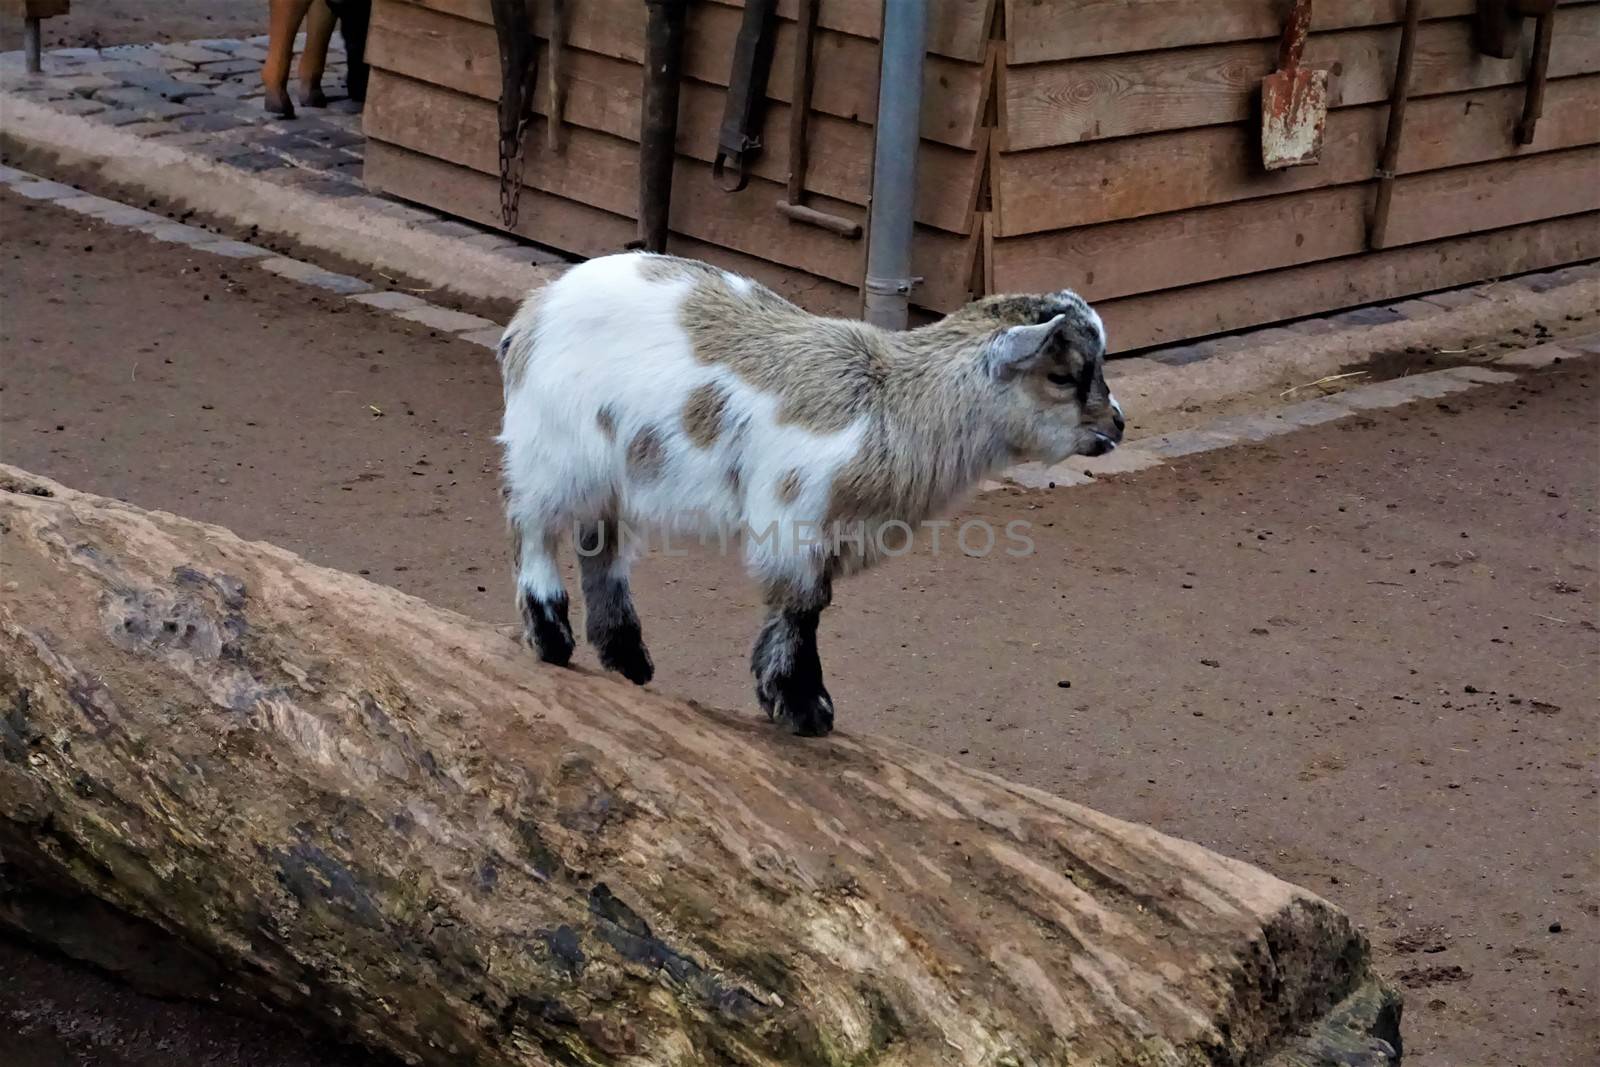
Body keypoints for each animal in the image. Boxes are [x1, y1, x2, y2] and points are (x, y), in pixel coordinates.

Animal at [499, 252, 1126, 735]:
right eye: (1062, 376)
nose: (1117, 426)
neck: (893, 403)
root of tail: (533, 310)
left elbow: (801, 607)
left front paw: (786, 699)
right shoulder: (793, 516)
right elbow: (802, 608)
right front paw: (805, 708)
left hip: (614, 474)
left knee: (599, 548)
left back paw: (627, 658)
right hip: (553, 454)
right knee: (534, 532)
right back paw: (552, 639)